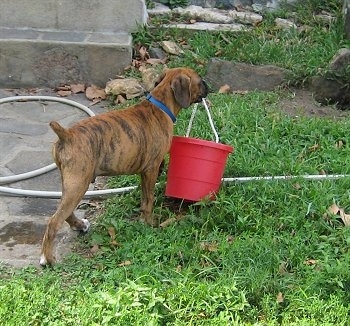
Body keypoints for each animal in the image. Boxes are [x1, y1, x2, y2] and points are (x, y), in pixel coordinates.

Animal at [39, 67, 208, 266]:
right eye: (199, 81)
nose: (208, 87)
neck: (161, 104)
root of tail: (66, 134)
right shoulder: (151, 169)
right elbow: (149, 199)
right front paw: (150, 223)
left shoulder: (145, 172)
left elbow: (144, 198)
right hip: (78, 183)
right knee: (54, 222)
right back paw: (48, 259)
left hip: (69, 182)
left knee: (65, 212)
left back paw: (79, 225)